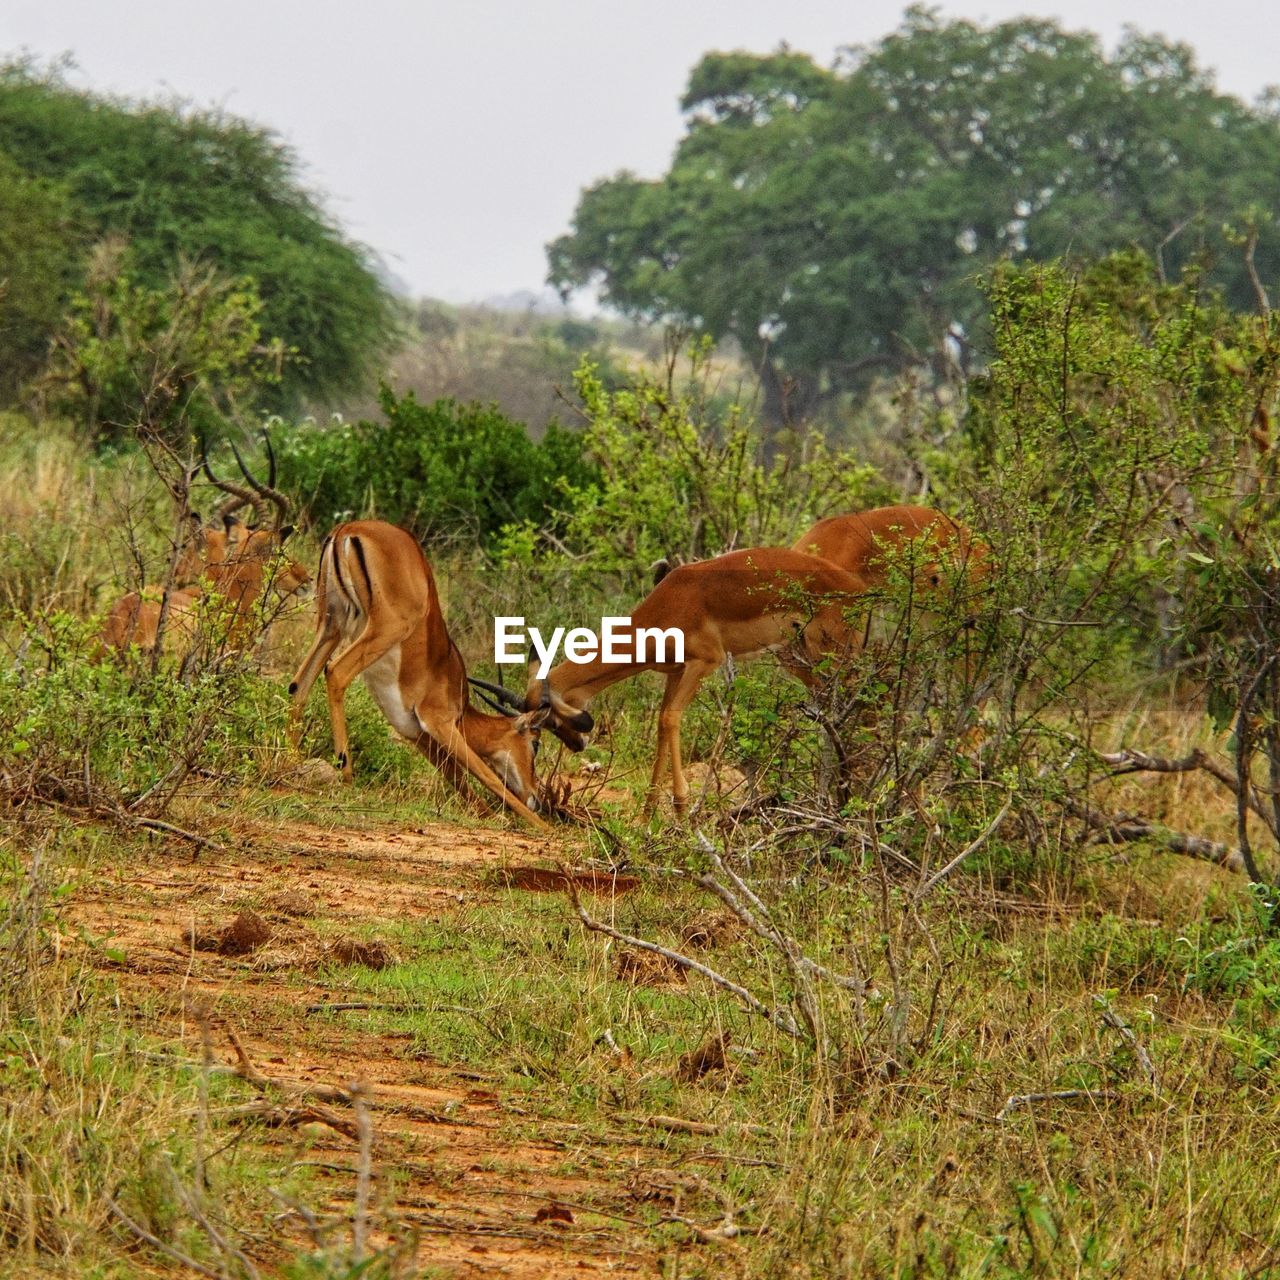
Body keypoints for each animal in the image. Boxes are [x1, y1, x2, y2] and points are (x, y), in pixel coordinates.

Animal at [509, 545, 870, 814]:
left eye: (550, 720)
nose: (578, 744)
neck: (671, 603)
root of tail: (860, 589)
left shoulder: (704, 663)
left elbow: (671, 719)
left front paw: (681, 806)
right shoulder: (676, 671)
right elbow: (661, 725)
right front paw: (648, 813)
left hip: (836, 656)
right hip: (799, 658)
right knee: (831, 714)